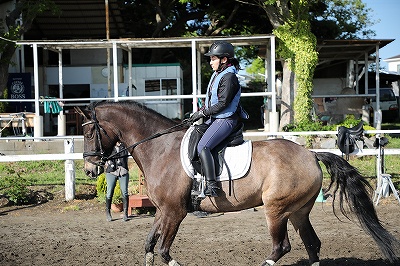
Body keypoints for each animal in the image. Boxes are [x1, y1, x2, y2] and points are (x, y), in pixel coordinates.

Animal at [76, 101, 400, 264]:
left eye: (90, 132)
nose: (90, 169)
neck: (160, 148)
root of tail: (310, 153)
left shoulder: (175, 212)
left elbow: (164, 252)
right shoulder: (163, 211)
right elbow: (149, 245)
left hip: (276, 211)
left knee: (281, 247)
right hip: (298, 211)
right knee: (312, 244)